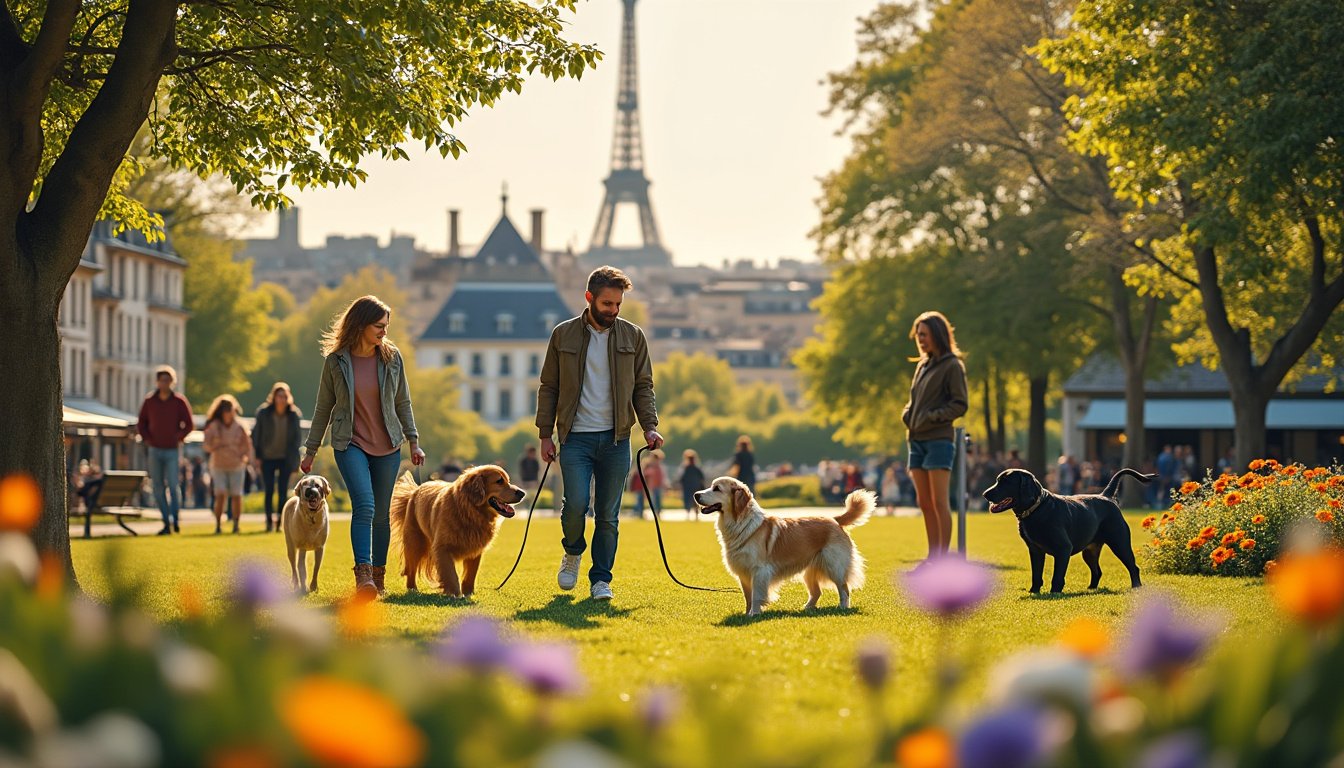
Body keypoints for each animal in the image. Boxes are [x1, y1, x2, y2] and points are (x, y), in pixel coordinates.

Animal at [693, 478, 870, 616]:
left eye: (717, 488)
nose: (696, 494)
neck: (740, 522)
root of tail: (835, 519)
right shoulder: (743, 572)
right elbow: (748, 596)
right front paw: (746, 613)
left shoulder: (759, 571)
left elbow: (756, 596)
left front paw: (754, 614)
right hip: (809, 571)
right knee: (817, 592)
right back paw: (806, 608)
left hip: (834, 566)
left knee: (844, 588)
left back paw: (843, 607)